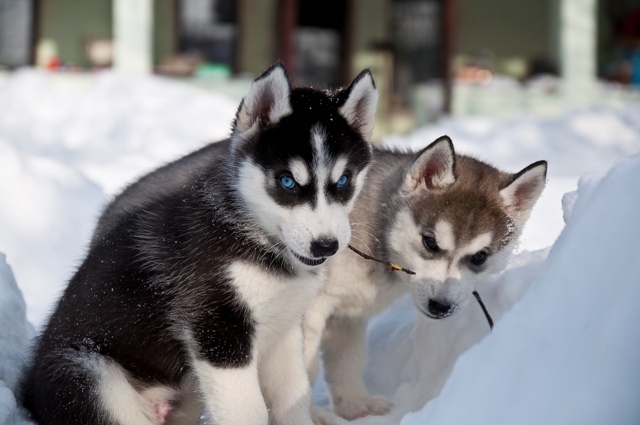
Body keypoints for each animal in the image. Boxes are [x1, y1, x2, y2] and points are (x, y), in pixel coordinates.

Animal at [22, 63, 378, 424]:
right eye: (287, 182)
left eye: (344, 180)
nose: (326, 245)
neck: (257, 240)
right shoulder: (217, 331)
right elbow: (248, 410)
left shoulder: (285, 329)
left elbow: (293, 398)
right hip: (87, 370)